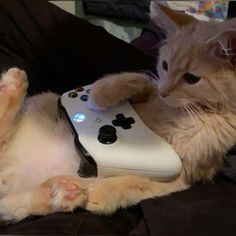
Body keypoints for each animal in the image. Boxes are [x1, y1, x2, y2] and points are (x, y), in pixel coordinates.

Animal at [0, 2, 236, 222]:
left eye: (191, 78)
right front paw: (99, 94)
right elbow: (140, 80)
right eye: (165, 65)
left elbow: (136, 183)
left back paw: (66, 191)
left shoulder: (183, 173)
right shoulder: (148, 91)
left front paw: (101, 194)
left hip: (15, 204)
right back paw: (13, 85)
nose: (164, 92)